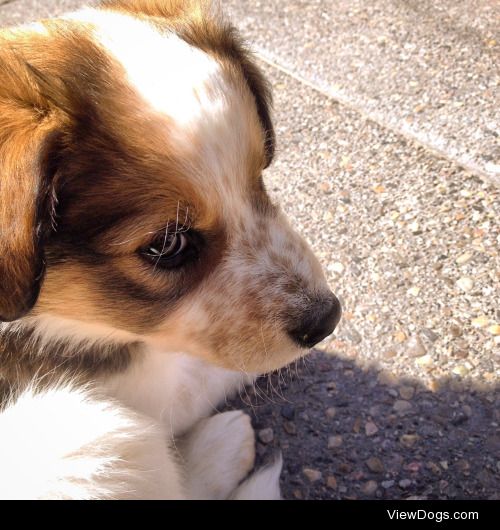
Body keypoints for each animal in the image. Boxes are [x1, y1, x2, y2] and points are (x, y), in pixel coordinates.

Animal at [0, 0, 340, 498]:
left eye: (259, 177)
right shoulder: (135, 391)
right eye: (166, 245)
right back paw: (223, 447)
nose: (328, 317)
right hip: (92, 434)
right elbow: (203, 373)